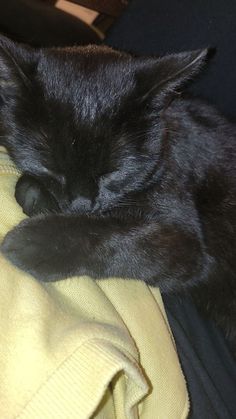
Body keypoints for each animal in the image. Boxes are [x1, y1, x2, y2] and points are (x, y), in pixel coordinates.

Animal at [0, 33, 235, 354]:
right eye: (51, 167)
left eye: (112, 172)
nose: (81, 204)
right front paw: (38, 196)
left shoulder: (186, 243)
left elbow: (121, 238)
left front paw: (36, 242)